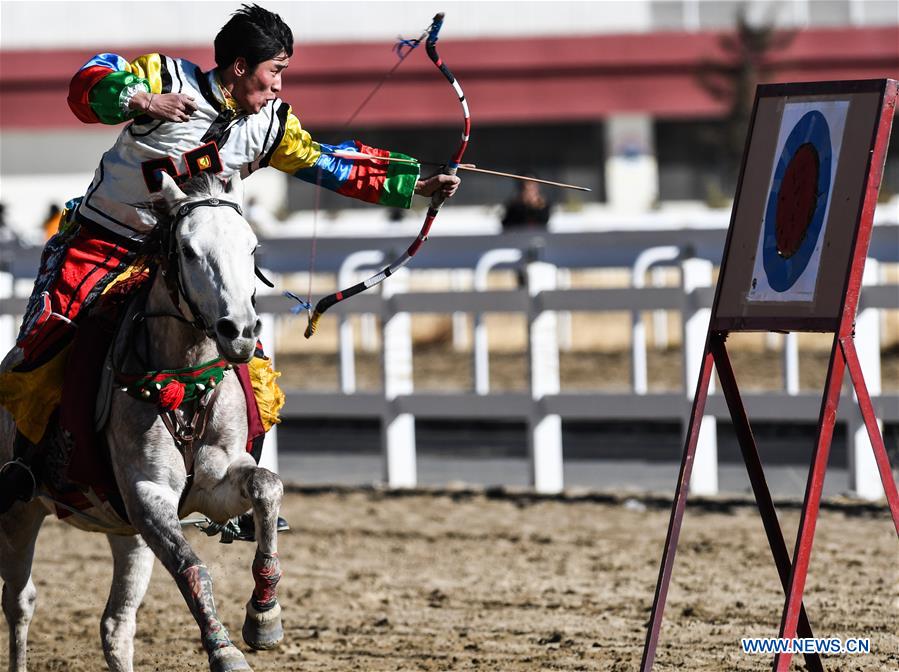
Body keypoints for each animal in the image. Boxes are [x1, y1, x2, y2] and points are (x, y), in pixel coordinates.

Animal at [0, 171, 283, 672]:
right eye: (188, 250)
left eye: (252, 247)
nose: (240, 331)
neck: (184, 383)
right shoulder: (148, 495)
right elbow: (192, 565)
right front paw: (225, 650)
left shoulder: (213, 486)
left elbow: (266, 486)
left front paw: (263, 615)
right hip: (19, 513)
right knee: (19, 603)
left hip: (126, 534)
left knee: (115, 625)